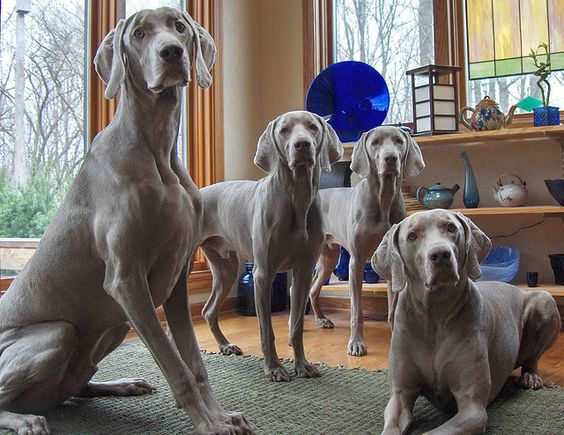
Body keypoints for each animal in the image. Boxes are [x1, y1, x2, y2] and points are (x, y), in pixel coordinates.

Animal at [0, 7, 250, 435]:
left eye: (180, 27)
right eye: (139, 34)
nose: (172, 53)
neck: (158, 150)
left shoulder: (177, 279)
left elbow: (195, 363)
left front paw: (221, 416)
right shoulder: (127, 280)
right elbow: (177, 366)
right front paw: (209, 424)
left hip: (112, 328)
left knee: (75, 389)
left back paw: (122, 384)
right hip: (59, 332)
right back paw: (26, 419)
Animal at [197, 111, 344, 382]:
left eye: (312, 127)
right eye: (284, 130)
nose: (302, 145)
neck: (297, 197)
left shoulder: (303, 271)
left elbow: (296, 325)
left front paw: (302, 365)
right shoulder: (263, 274)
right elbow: (266, 329)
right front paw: (274, 368)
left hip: (226, 267)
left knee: (209, 310)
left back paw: (225, 345)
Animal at [308, 127, 424, 358]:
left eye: (398, 141)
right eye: (375, 142)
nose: (391, 158)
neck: (383, 199)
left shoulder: (393, 263)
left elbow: (393, 307)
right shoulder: (356, 262)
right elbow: (357, 310)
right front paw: (356, 343)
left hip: (329, 257)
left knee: (313, 289)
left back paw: (321, 319)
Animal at [370, 209, 560, 434]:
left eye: (451, 228)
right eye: (412, 236)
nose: (441, 254)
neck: (434, 316)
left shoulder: (473, 409)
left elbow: (434, 431)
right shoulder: (400, 396)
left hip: (545, 300)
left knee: (533, 357)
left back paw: (531, 376)